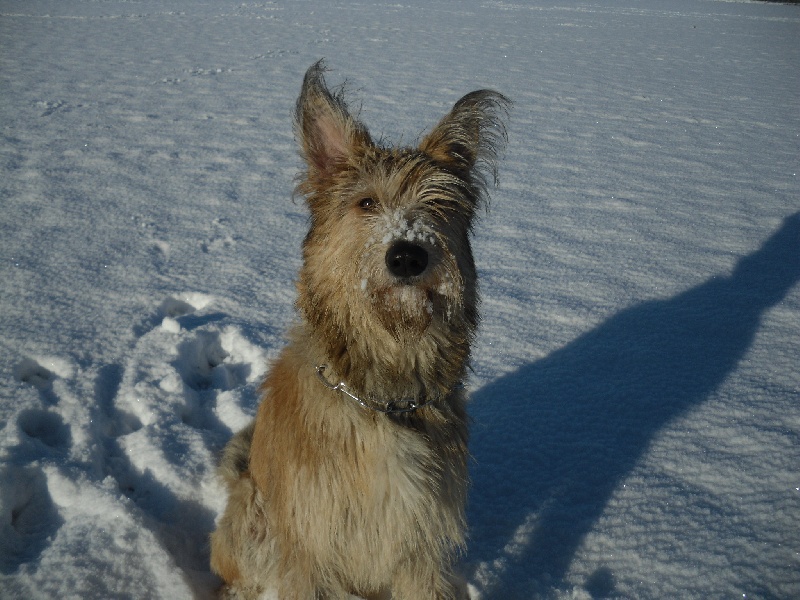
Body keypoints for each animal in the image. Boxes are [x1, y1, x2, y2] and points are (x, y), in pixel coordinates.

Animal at [209, 61, 510, 600]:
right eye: (366, 203)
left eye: (438, 204)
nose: (407, 255)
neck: (384, 396)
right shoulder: (310, 545)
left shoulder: (421, 544)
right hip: (254, 519)